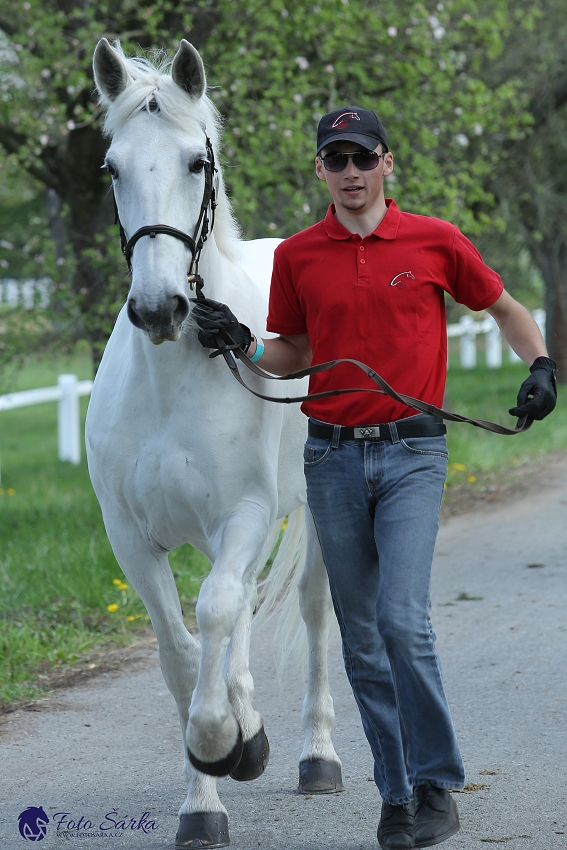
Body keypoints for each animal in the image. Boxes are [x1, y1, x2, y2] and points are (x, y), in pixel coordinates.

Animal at [87, 36, 344, 844]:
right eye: (112, 167)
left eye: (195, 163)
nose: (158, 308)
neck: (173, 381)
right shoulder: (130, 538)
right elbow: (181, 649)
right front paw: (206, 792)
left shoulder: (247, 514)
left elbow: (217, 612)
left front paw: (221, 742)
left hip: (312, 515)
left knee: (306, 612)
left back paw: (315, 757)